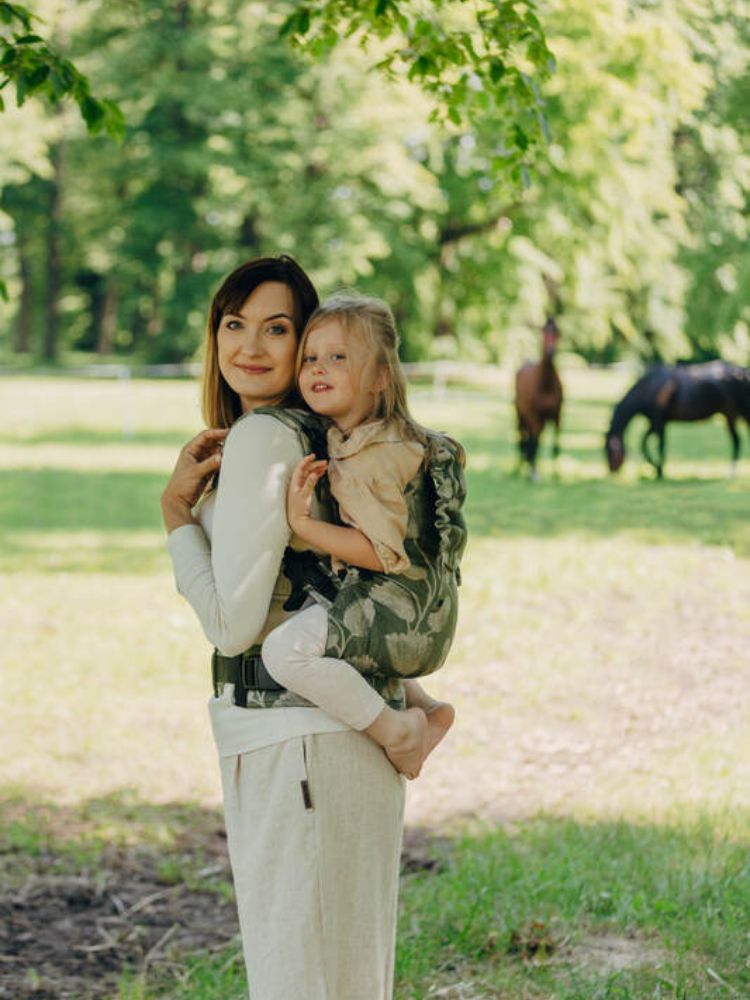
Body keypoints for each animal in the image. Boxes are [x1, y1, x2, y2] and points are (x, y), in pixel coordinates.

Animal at [516, 318, 564, 478]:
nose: (551, 351)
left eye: (557, 333)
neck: (546, 385)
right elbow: (534, 442)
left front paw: (556, 474)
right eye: (543, 332)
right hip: (520, 414)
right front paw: (533, 471)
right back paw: (521, 465)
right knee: (523, 436)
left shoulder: (557, 415)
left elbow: (556, 444)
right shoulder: (533, 416)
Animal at [604, 362, 750, 478]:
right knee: (738, 440)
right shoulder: (654, 423)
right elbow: (644, 443)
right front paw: (655, 467)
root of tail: (742, 372)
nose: (611, 472)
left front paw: (660, 471)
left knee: (737, 440)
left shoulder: (659, 422)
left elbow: (660, 445)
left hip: (737, 413)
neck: (649, 387)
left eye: (609, 451)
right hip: (731, 415)